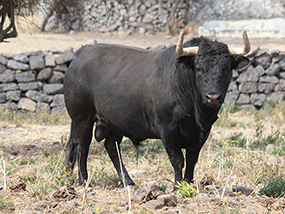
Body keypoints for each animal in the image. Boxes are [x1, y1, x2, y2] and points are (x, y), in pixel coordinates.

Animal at [63, 31, 248, 187]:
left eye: (227, 69)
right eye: (199, 68)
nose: (213, 97)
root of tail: (84, 51)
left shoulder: (202, 133)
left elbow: (192, 160)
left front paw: (188, 184)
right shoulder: (167, 129)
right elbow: (178, 160)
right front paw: (177, 187)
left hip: (115, 121)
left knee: (111, 147)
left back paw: (127, 181)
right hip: (82, 118)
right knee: (82, 147)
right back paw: (84, 181)